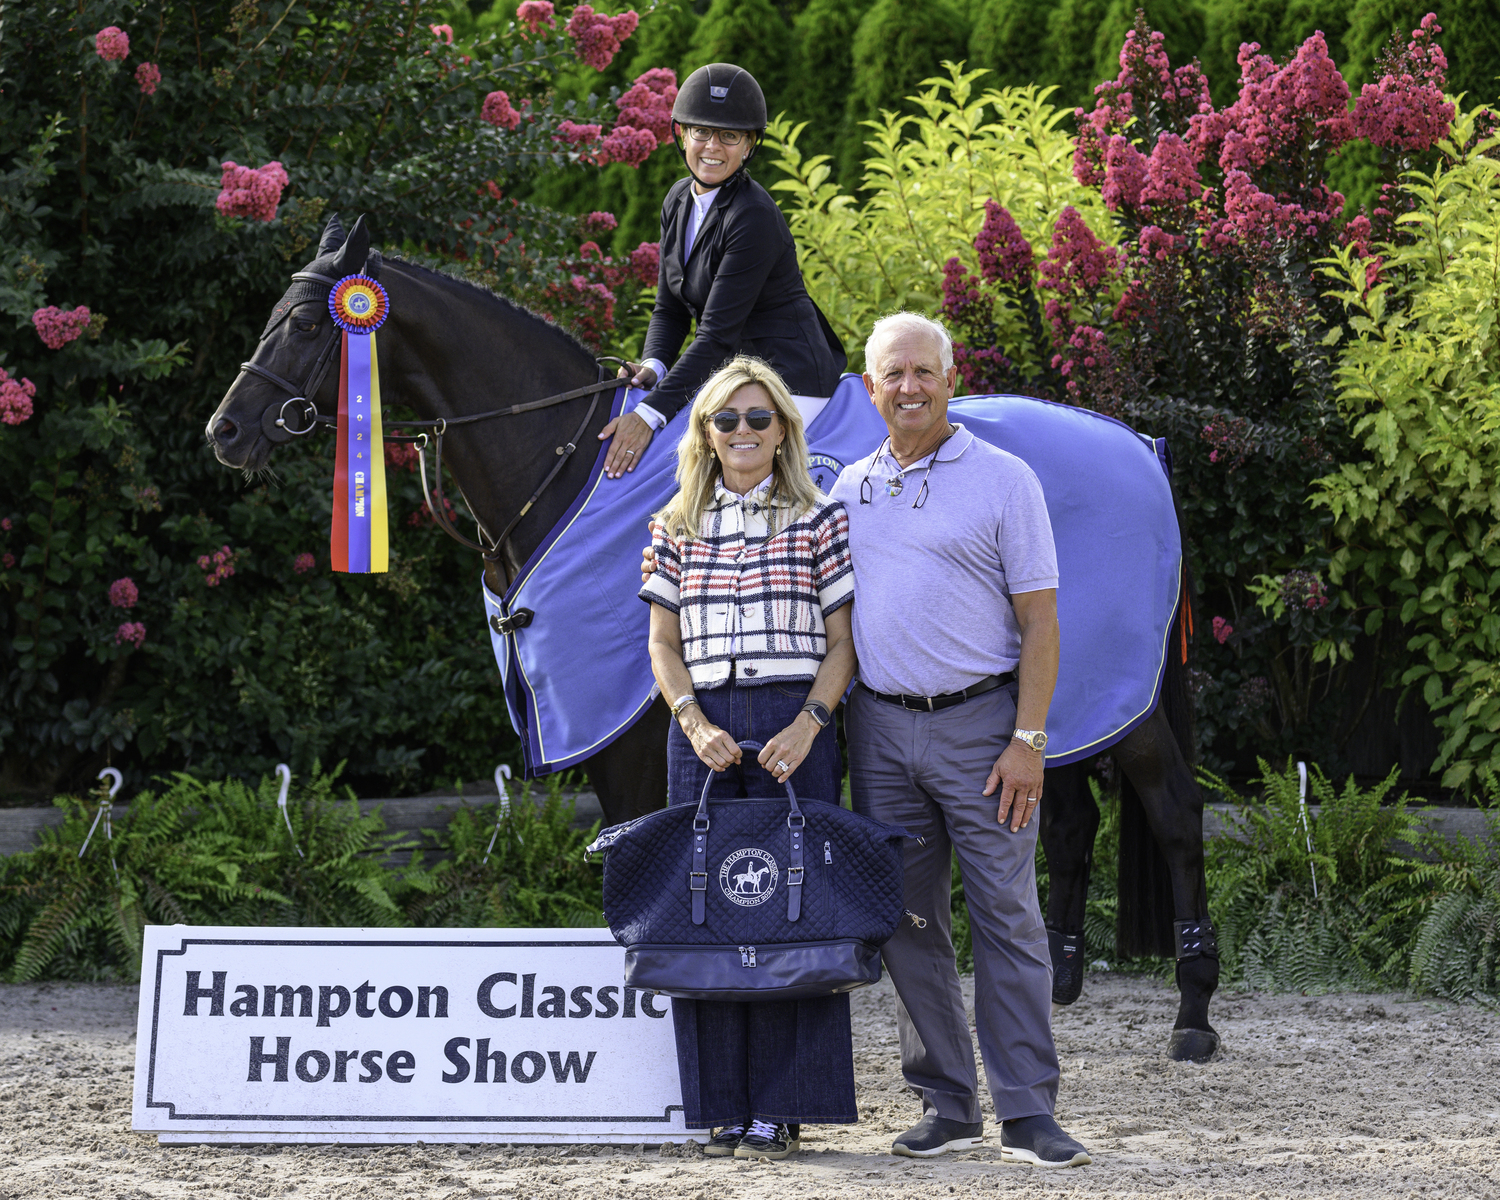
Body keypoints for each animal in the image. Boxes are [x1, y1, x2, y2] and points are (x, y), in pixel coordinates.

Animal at [202, 216, 1218, 1062]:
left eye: (308, 322)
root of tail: (1141, 445)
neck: (568, 473)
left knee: (1173, 814)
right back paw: (1065, 979)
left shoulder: (631, 728)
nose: (226, 431)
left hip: (1116, 697)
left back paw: (1193, 1014)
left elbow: (627, 850)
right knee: (1066, 813)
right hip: (1059, 696)